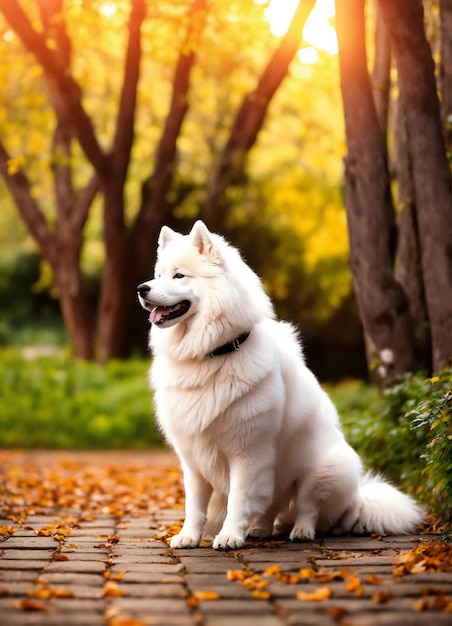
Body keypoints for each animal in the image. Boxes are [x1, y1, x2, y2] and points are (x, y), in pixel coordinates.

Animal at [138, 218, 424, 544]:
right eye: (158, 275)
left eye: (179, 275)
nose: (141, 289)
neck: (211, 354)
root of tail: (359, 495)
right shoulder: (194, 457)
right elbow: (195, 504)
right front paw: (189, 537)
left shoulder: (248, 452)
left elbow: (238, 498)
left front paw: (229, 536)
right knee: (272, 506)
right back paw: (261, 529)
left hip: (322, 470)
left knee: (312, 508)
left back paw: (303, 531)